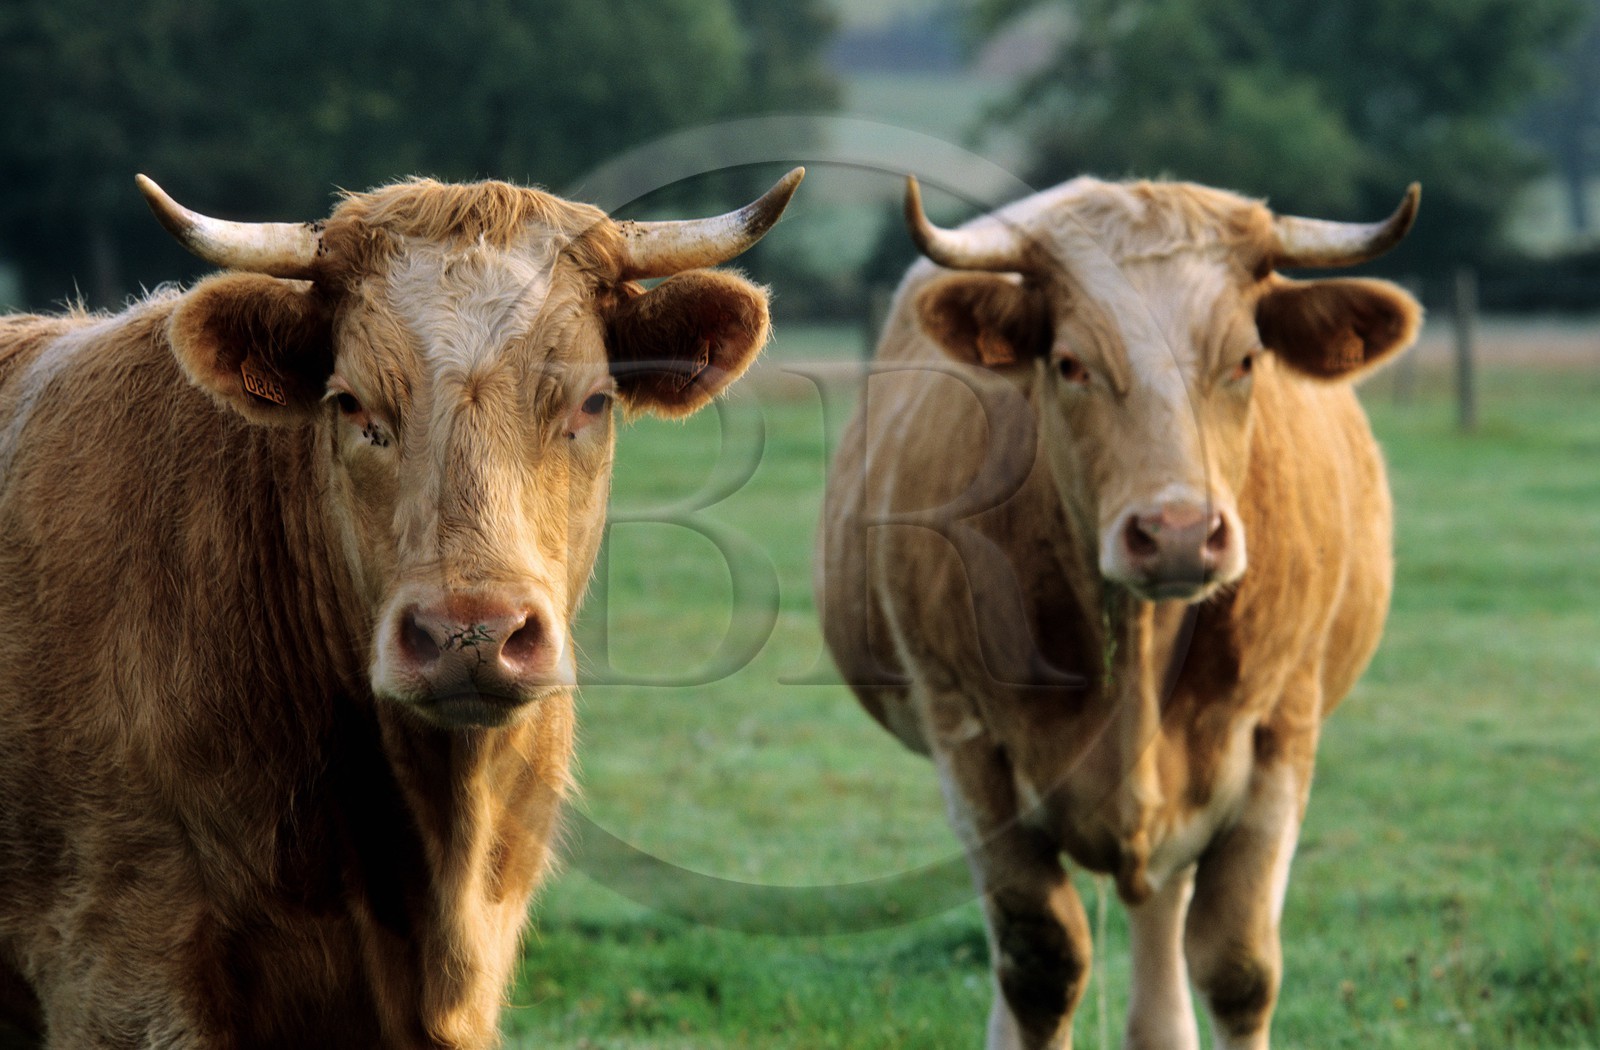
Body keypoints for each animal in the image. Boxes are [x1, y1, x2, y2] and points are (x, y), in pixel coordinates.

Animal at [816, 175, 1421, 1050]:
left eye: (1245, 360)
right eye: (1071, 364)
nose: (1177, 534)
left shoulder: (1283, 730)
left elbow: (1239, 967)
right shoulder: (966, 742)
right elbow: (1041, 965)